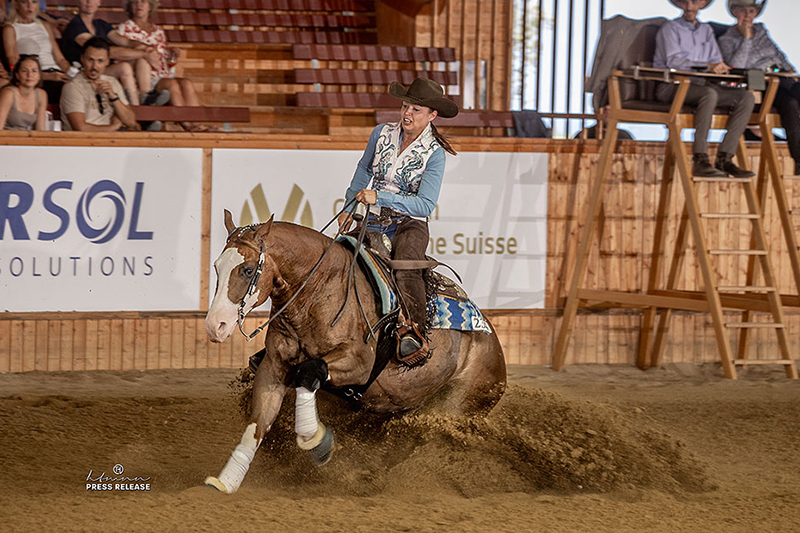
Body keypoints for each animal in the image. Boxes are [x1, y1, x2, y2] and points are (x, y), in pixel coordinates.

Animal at [203, 210, 504, 492]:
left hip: (456, 407)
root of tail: (496, 351)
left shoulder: (359, 364)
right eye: (217, 267)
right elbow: (257, 425)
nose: (215, 325)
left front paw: (317, 441)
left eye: (247, 270)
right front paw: (226, 481)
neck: (317, 291)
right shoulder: (273, 368)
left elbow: (308, 371)